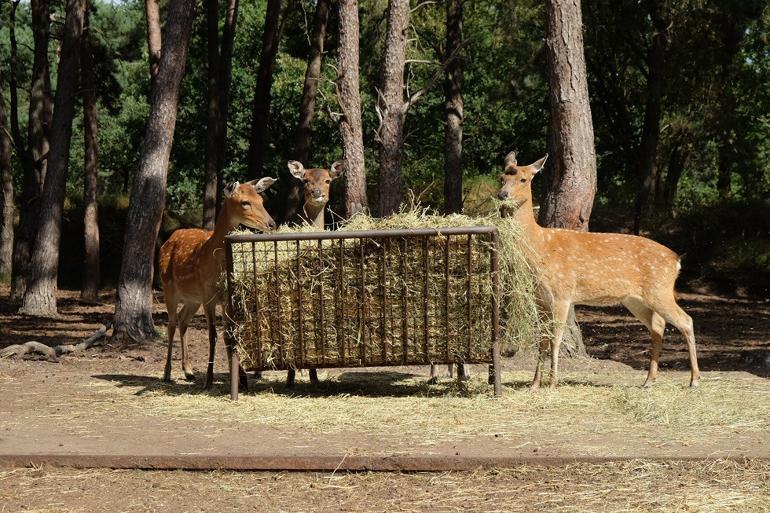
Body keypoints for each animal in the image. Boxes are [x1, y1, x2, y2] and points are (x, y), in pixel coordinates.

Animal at [158, 176, 278, 388]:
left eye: (261, 200)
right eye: (245, 202)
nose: (271, 224)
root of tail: (168, 239)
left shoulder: (225, 298)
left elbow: (229, 335)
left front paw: (241, 379)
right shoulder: (209, 296)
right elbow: (212, 335)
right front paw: (209, 379)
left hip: (192, 299)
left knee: (183, 321)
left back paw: (188, 371)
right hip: (168, 288)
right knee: (171, 324)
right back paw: (167, 373)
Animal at [496, 152, 700, 388]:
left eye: (523, 179)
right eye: (502, 177)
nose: (502, 194)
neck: (540, 246)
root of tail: (677, 261)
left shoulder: (562, 293)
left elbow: (556, 339)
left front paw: (553, 383)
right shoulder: (541, 299)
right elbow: (542, 340)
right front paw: (534, 384)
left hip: (660, 290)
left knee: (686, 321)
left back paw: (694, 380)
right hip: (636, 299)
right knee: (658, 325)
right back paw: (649, 380)